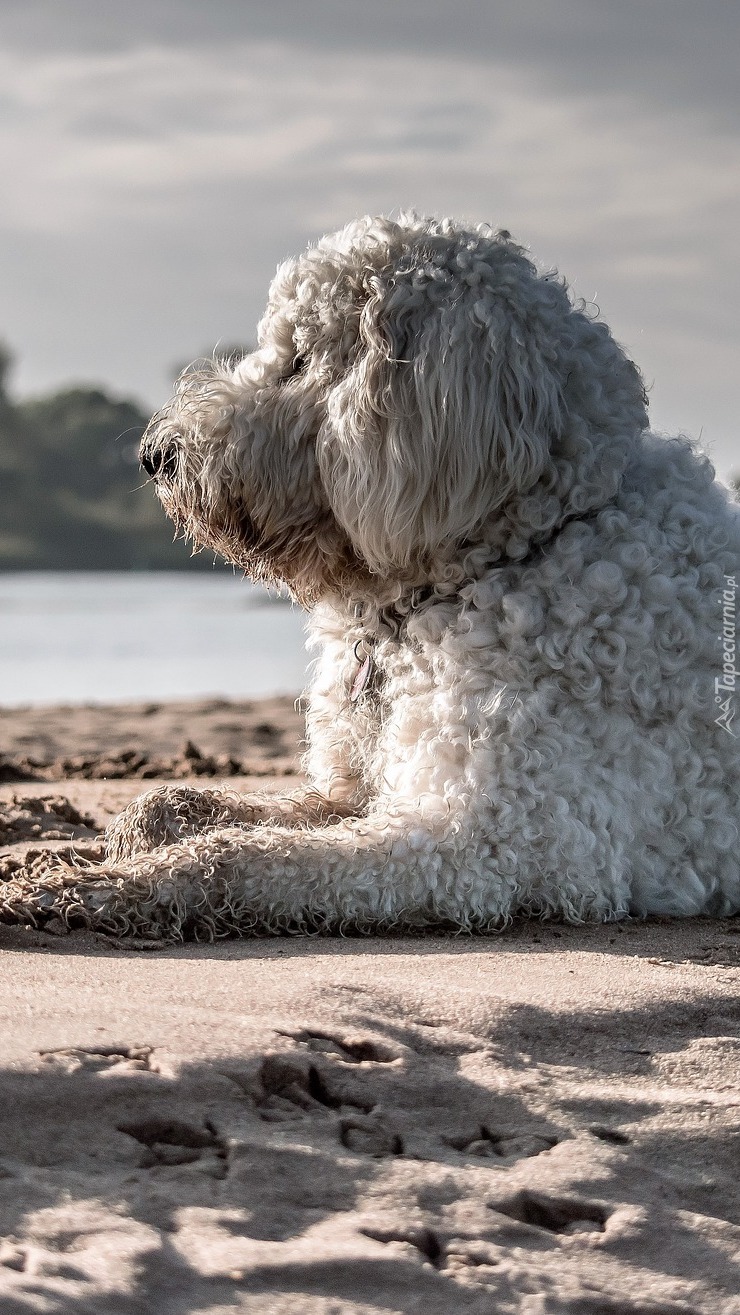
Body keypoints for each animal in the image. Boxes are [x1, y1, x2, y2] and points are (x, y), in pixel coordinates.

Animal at [2, 213, 736, 936]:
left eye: (300, 361)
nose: (155, 455)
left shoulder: (497, 837)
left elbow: (246, 858)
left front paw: (96, 887)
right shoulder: (355, 789)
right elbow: (209, 808)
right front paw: (135, 826)